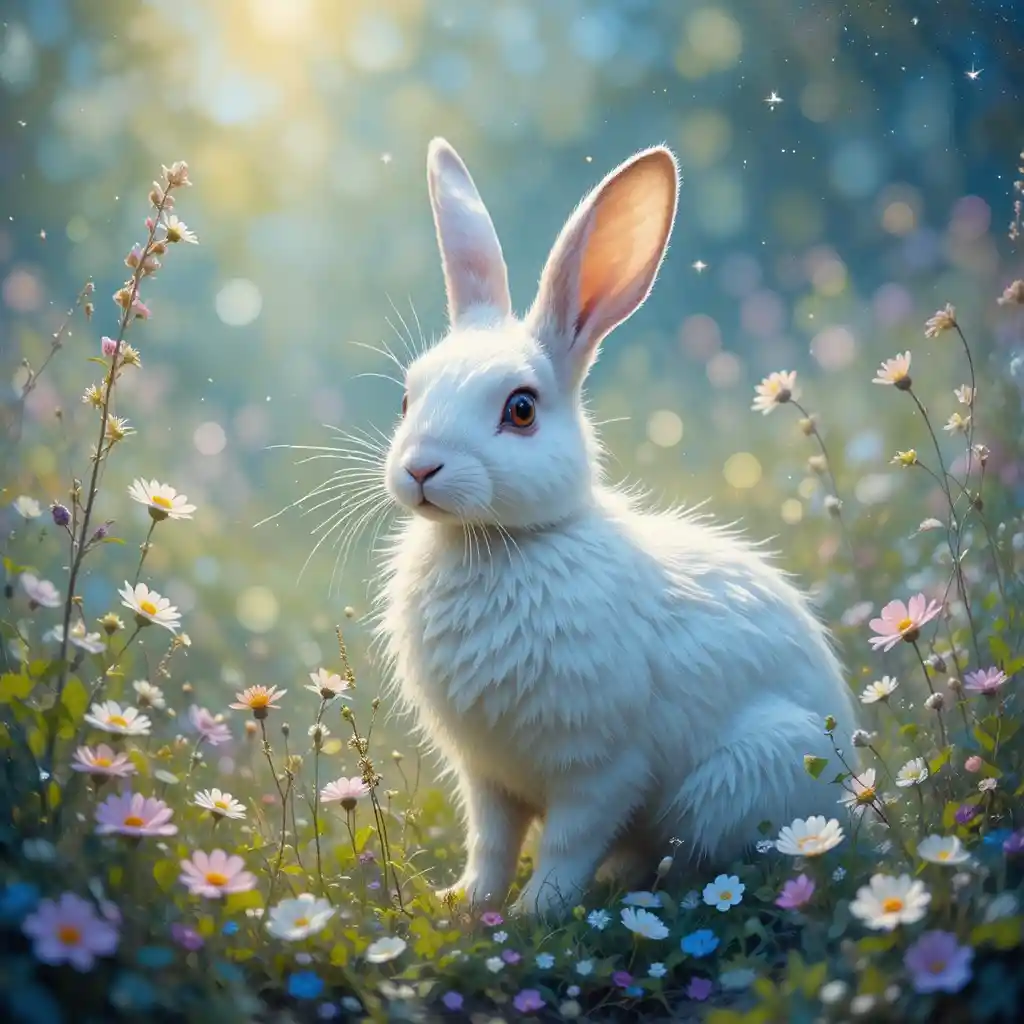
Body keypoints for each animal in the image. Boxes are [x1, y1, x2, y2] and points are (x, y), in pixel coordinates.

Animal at [374, 137, 859, 918]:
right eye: (406, 398)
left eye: (520, 409)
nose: (420, 470)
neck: (502, 544)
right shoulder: (487, 778)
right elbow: (491, 845)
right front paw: (465, 905)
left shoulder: (601, 770)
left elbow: (567, 846)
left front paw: (533, 915)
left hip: (739, 778)